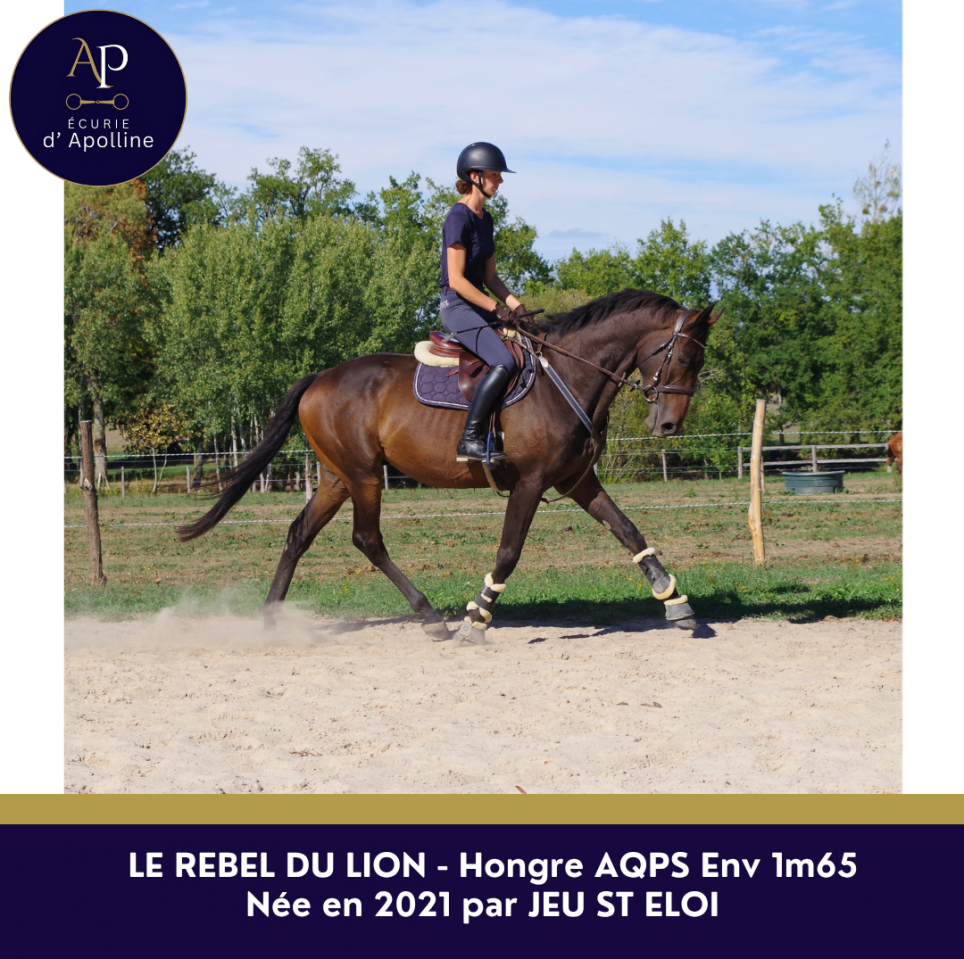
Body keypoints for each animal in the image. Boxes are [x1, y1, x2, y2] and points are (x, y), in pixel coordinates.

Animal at [178, 290, 719, 643]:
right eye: (682, 357)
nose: (669, 425)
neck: (566, 375)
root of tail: (320, 377)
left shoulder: (576, 480)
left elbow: (628, 531)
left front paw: (675, 602)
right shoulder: (531, 482)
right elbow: (508, 552)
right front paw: (476, 617)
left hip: (336, 478)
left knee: (298, 534)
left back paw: (271, 621)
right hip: (364, 476)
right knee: (367, 539)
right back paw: (429, 616)